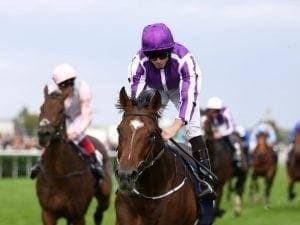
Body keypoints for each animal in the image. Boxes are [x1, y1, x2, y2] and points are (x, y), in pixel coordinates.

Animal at [35, 86, 112, 225]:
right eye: (41, 108)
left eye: (61, 110)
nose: (44, 134)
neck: (59, 174)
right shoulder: (48, 213)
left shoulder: (78, 215)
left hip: (105, 195)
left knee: (99, 212)